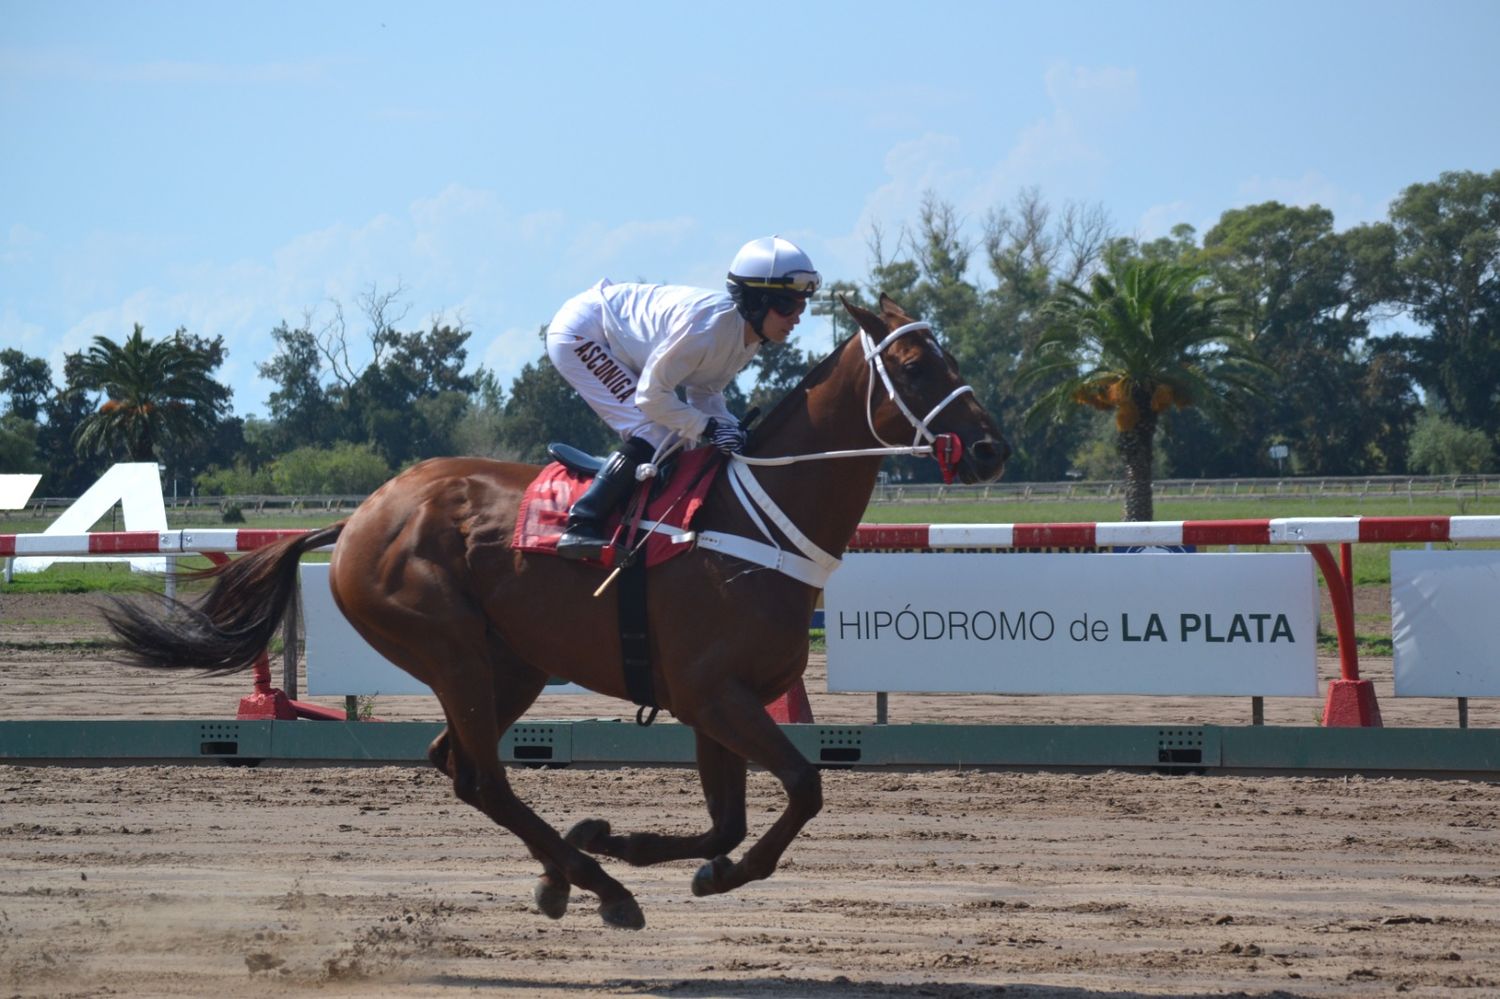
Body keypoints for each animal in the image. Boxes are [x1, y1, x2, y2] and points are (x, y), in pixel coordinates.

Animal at [105, 294, 1008, 924]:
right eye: (916, 363)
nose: (993, 447)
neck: (759, 517)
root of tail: (361, 515)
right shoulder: (714, 692)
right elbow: (805, 786)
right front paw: (664, 863)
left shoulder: (714, 700)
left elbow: (726, 822)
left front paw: (632, 842)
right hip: (452, 649)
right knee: (483, 777)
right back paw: (598, 886)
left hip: (513, 664)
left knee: (456, 764)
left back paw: (574, 870)